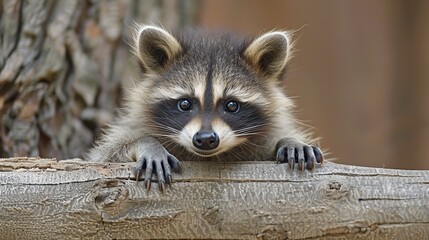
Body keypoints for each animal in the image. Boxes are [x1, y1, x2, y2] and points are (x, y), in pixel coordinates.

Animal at [86, 24, 320, 191]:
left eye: (231, 105)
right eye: (185, 103)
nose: (206, 138)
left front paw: (289, 140)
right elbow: (105, 156)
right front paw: (146, 143)